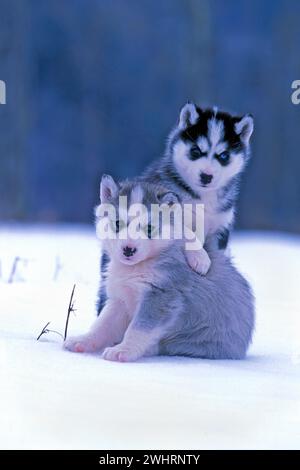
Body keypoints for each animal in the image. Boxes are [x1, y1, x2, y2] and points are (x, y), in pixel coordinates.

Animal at [64, 174, 254, 362]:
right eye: (117, 223)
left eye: (149, 228)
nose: (128, 249)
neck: (136, 268)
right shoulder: (120, 299)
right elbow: (102, 324)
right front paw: (83, 341)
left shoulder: (160, 296)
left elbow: (138, 329)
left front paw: (124, 350)